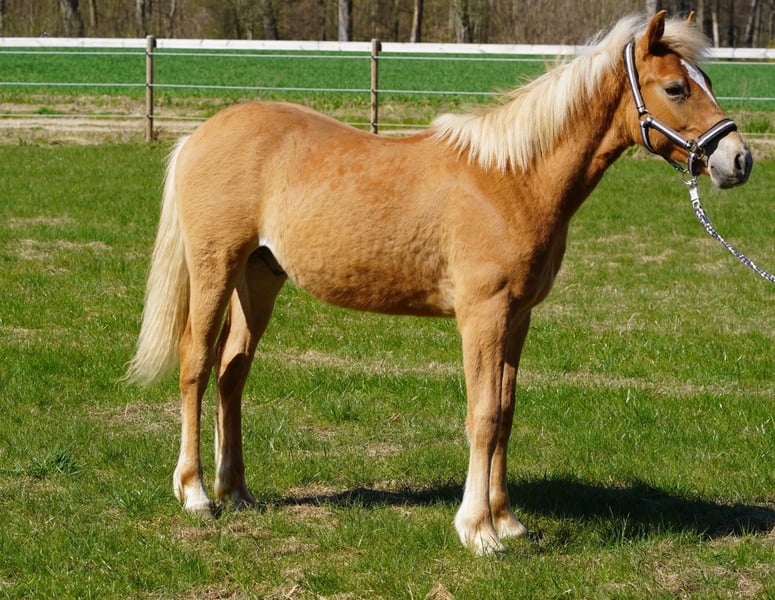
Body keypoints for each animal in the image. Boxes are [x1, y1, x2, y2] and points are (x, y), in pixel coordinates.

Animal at [126, 11, 752, 554]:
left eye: (707, 80)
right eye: (675, 88)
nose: (739, 160)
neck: (512, 180)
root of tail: (198, 136)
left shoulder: (518, 317)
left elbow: (506, 411)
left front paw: (508, 521)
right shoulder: (483, 314)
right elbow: (483, 415)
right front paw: (478, 532)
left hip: (258, 279)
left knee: (231, 374)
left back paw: (236, 491)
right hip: (215, 268)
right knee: (195, 363)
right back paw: (196, 494)